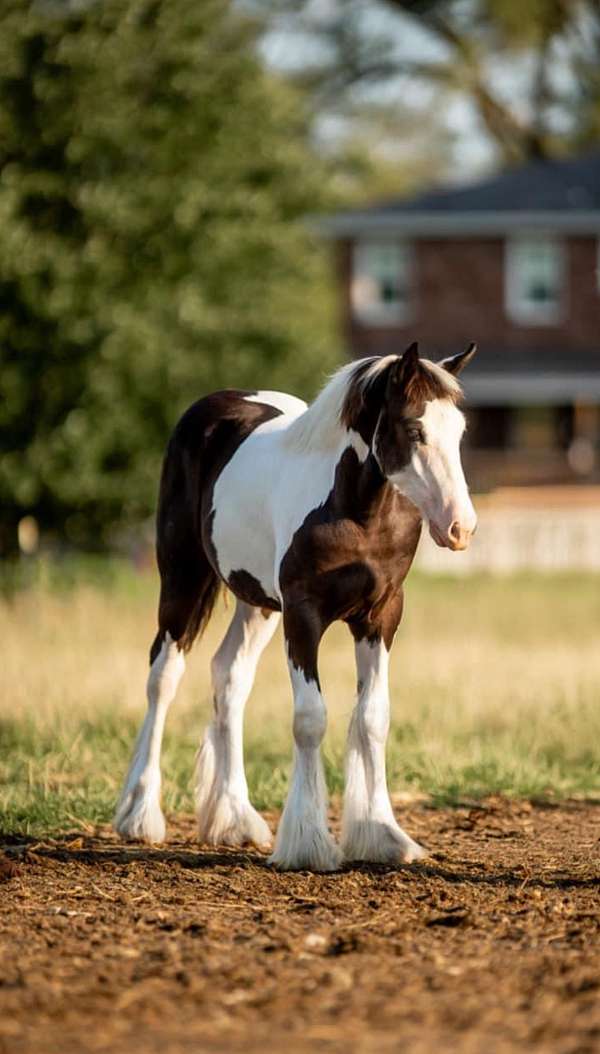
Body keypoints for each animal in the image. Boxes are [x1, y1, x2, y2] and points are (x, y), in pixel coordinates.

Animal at [113, 343, 476, 872]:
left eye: (460, 430)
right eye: (414, 429)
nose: (460, 527)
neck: (355, 514)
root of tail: (214, 405)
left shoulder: (381, 616)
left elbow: (373, 718)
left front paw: (382, 835)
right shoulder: (304, 616)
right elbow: (310, 719)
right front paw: (308, 842)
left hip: (258, 604)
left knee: (229, 676)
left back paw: (235, 819)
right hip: (182, 580)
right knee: (163, 678)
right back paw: (140, 814)